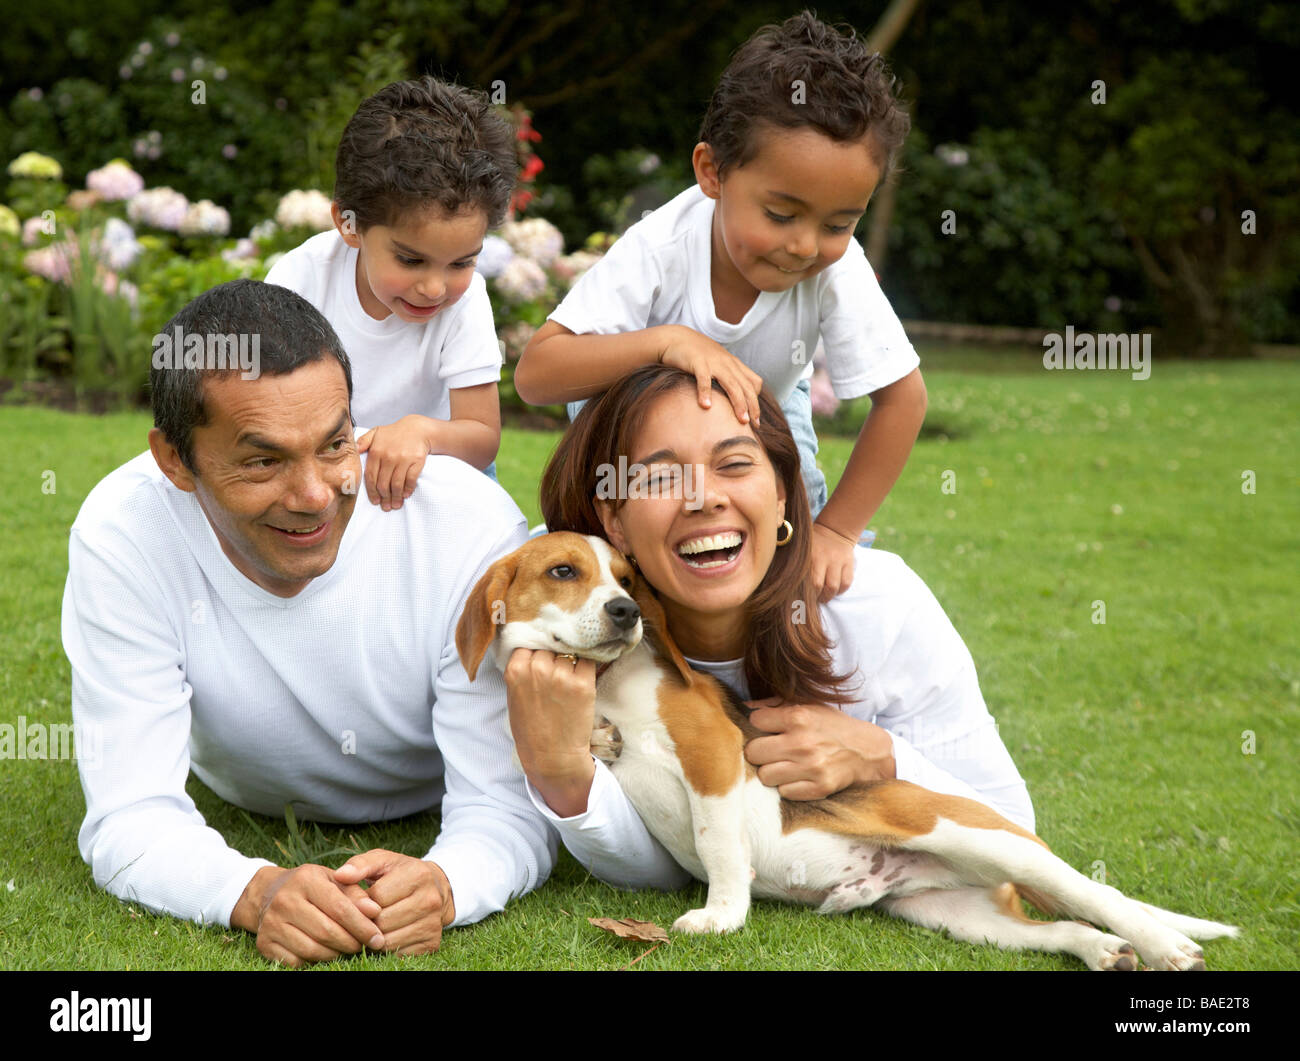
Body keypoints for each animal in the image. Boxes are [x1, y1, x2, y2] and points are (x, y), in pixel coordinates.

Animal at [457, 530, 1237, 967]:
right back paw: (1102, 950)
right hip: (959, 917)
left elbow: (716, 844)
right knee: (1060, 927)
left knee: (1097, 891)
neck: (608, 683)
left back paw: (1163, 944)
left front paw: (722, 914)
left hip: (982, 837)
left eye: (625, 578)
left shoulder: (712, 756)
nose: (626, 613)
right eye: (563, 571)